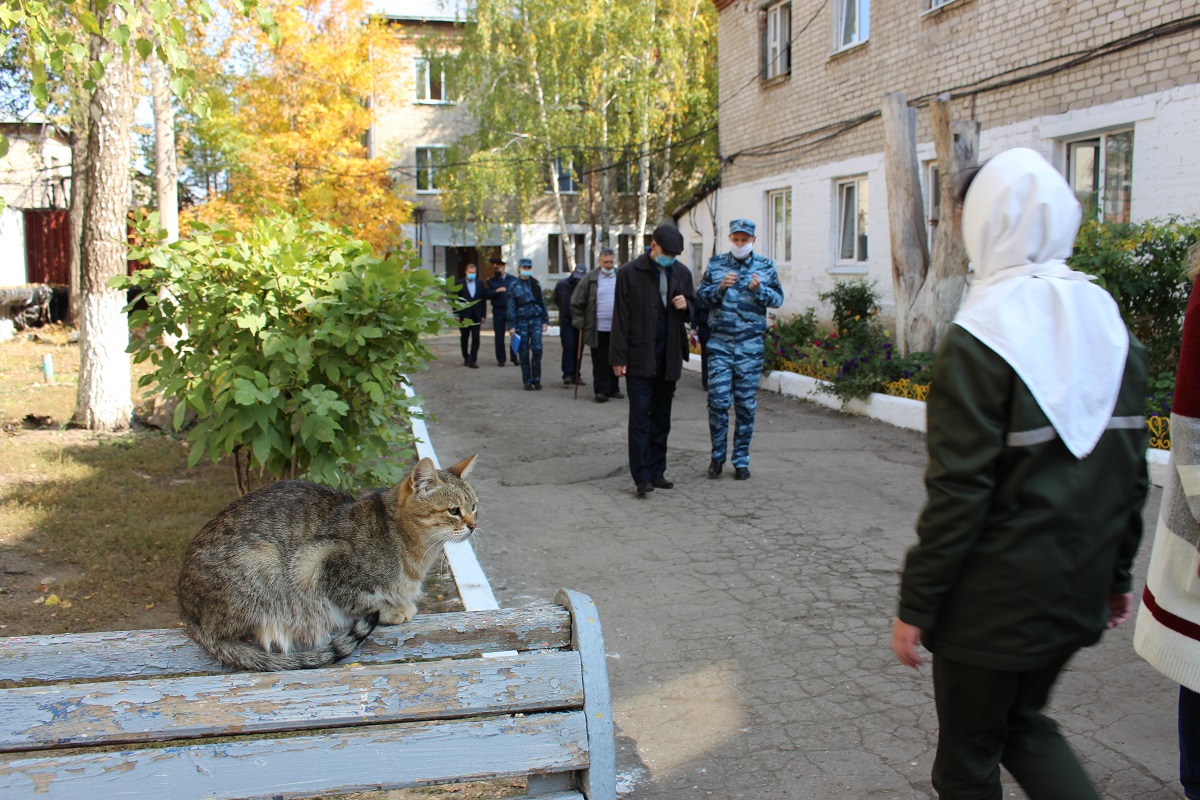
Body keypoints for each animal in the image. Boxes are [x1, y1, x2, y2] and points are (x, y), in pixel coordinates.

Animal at [177, 455, 477, 671]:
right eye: (453, 511)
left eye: (474, 506)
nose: (473, 526)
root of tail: (187, 611)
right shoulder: (320, 563)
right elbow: (363, 600)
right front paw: (392, 609)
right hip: (262, 559)